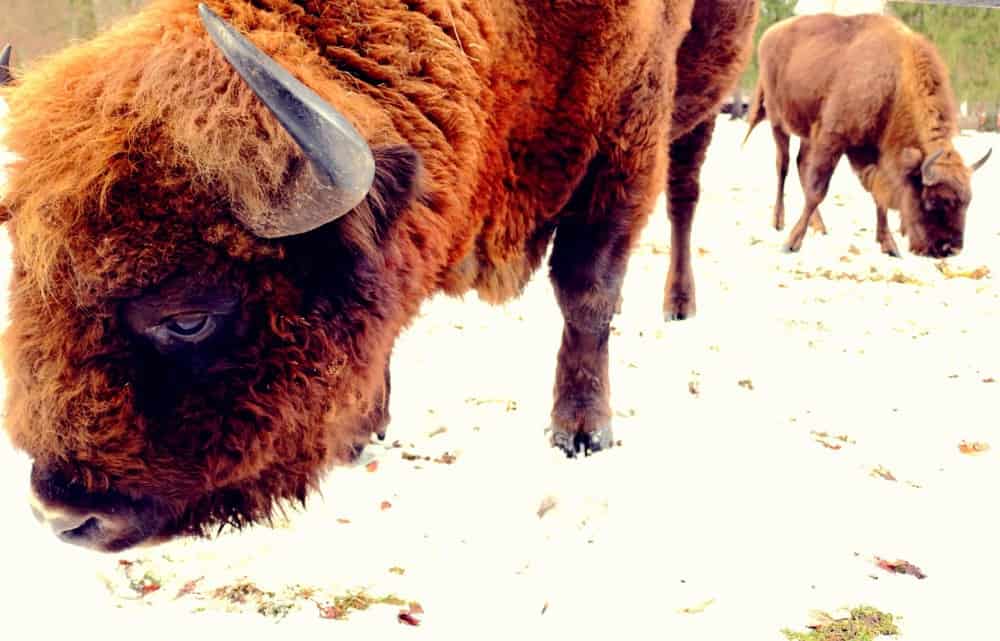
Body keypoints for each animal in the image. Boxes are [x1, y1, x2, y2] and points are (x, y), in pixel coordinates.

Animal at [0, 0, 752, 552]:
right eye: (28, 286)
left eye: (188, 317)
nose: (61, 514)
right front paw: (365, 426)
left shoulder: (625, 142)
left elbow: (586, 292)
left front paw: (582, 432)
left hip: (696, 114)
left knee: (685, 193)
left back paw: (679, 304)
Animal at [748, 12, 988, 258]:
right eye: (934, 201)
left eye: (967, 202)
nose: (951, 249)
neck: (896, 80)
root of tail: (769, 34)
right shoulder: (833, 138)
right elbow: (818, 191)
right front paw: (791, 243)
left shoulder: (872, 152)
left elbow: (878, 193)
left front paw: (889, 245)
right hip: (779, 122)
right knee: (783, 165)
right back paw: (779, 221)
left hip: (807, 134)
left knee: (800, 163)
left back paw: (819, 226)